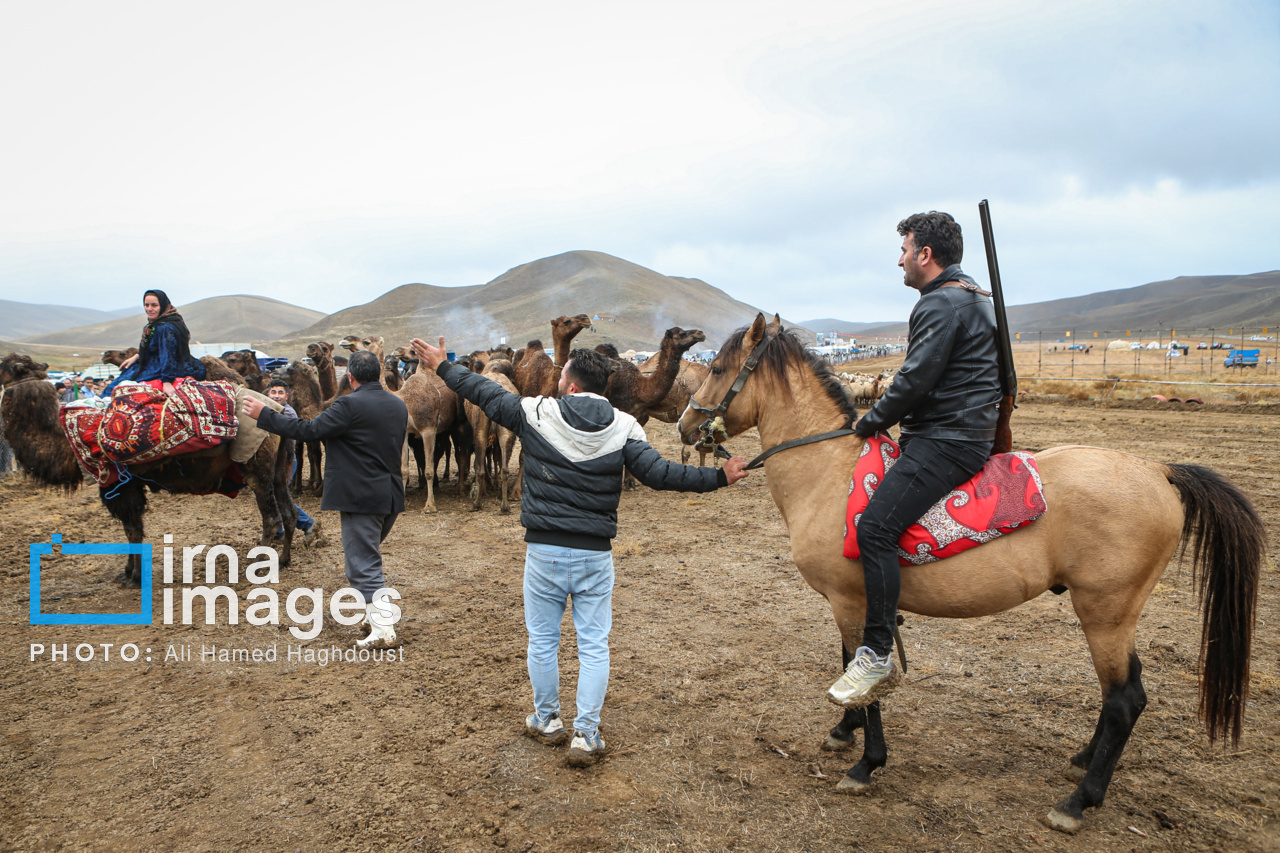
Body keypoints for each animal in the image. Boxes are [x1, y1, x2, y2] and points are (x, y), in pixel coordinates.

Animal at [1, 348, 294, 581]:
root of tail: (279, 410)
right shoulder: (130, 484)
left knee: (271, 518)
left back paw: (255, 566)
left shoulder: (117, 482)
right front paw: (128, 573)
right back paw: (284, 560)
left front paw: (133, 577)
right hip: (279, 469)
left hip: (255, 466)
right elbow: (134, 529)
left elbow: (132, 530)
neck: (66, 437)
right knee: (288, 512)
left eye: (6, 366)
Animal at [675, 312, 1264, 829]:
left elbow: (866, 674)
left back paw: (1079, 801)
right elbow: (848, 662)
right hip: (1116, 615)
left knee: (1124, 699)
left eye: (719, 368)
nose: (684, 424)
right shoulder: (849, 603)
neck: (828, 471)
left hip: (1105, 613)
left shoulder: (852, 601)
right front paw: (842, 730)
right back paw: (1083, 759)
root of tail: (1159, 470)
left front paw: (866, 763)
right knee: (1127, 692)